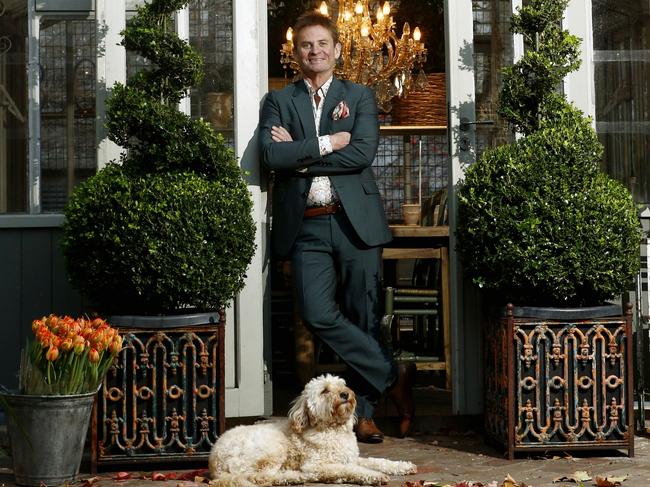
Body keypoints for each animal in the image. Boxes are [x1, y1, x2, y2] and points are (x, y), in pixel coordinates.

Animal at [208, 376, 416, 486]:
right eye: (325, 390)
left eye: (342, 384)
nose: (345, 394)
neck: (332, 429)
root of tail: (214, 461)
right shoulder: (317, 464)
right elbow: (352, 469)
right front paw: (374, 476)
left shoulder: (350, 457)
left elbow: (377, 461)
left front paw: (402, 466)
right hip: (272, 449)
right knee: (261, 476)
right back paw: (295, 477)